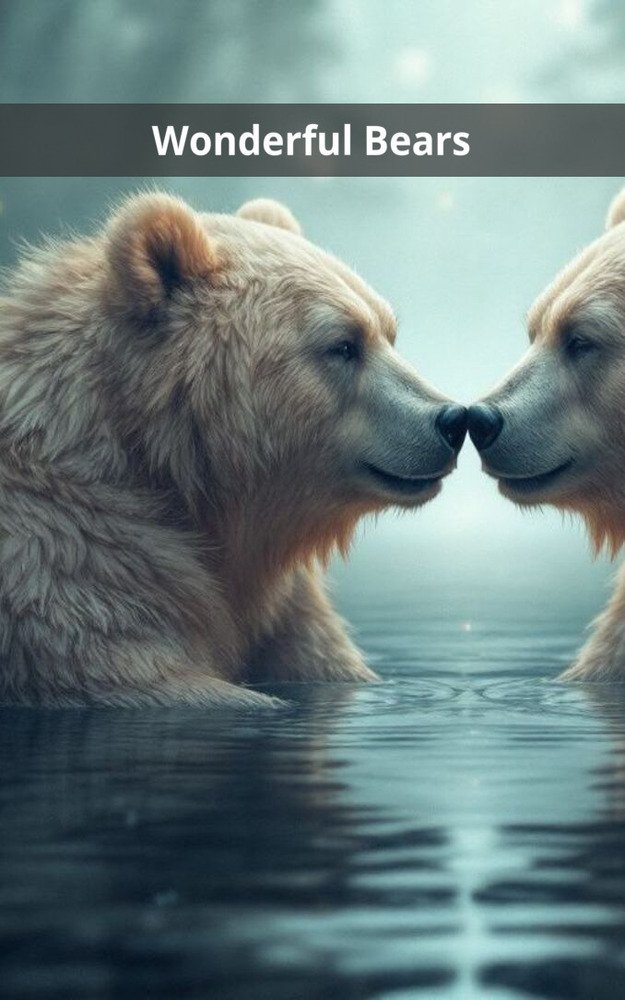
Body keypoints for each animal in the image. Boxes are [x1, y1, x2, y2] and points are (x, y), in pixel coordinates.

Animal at [0, 191, 468, 707]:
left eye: (389, 333)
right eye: (344, 344)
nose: (452, 419)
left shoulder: (277, 601)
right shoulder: (73, 551)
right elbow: (135, 672)